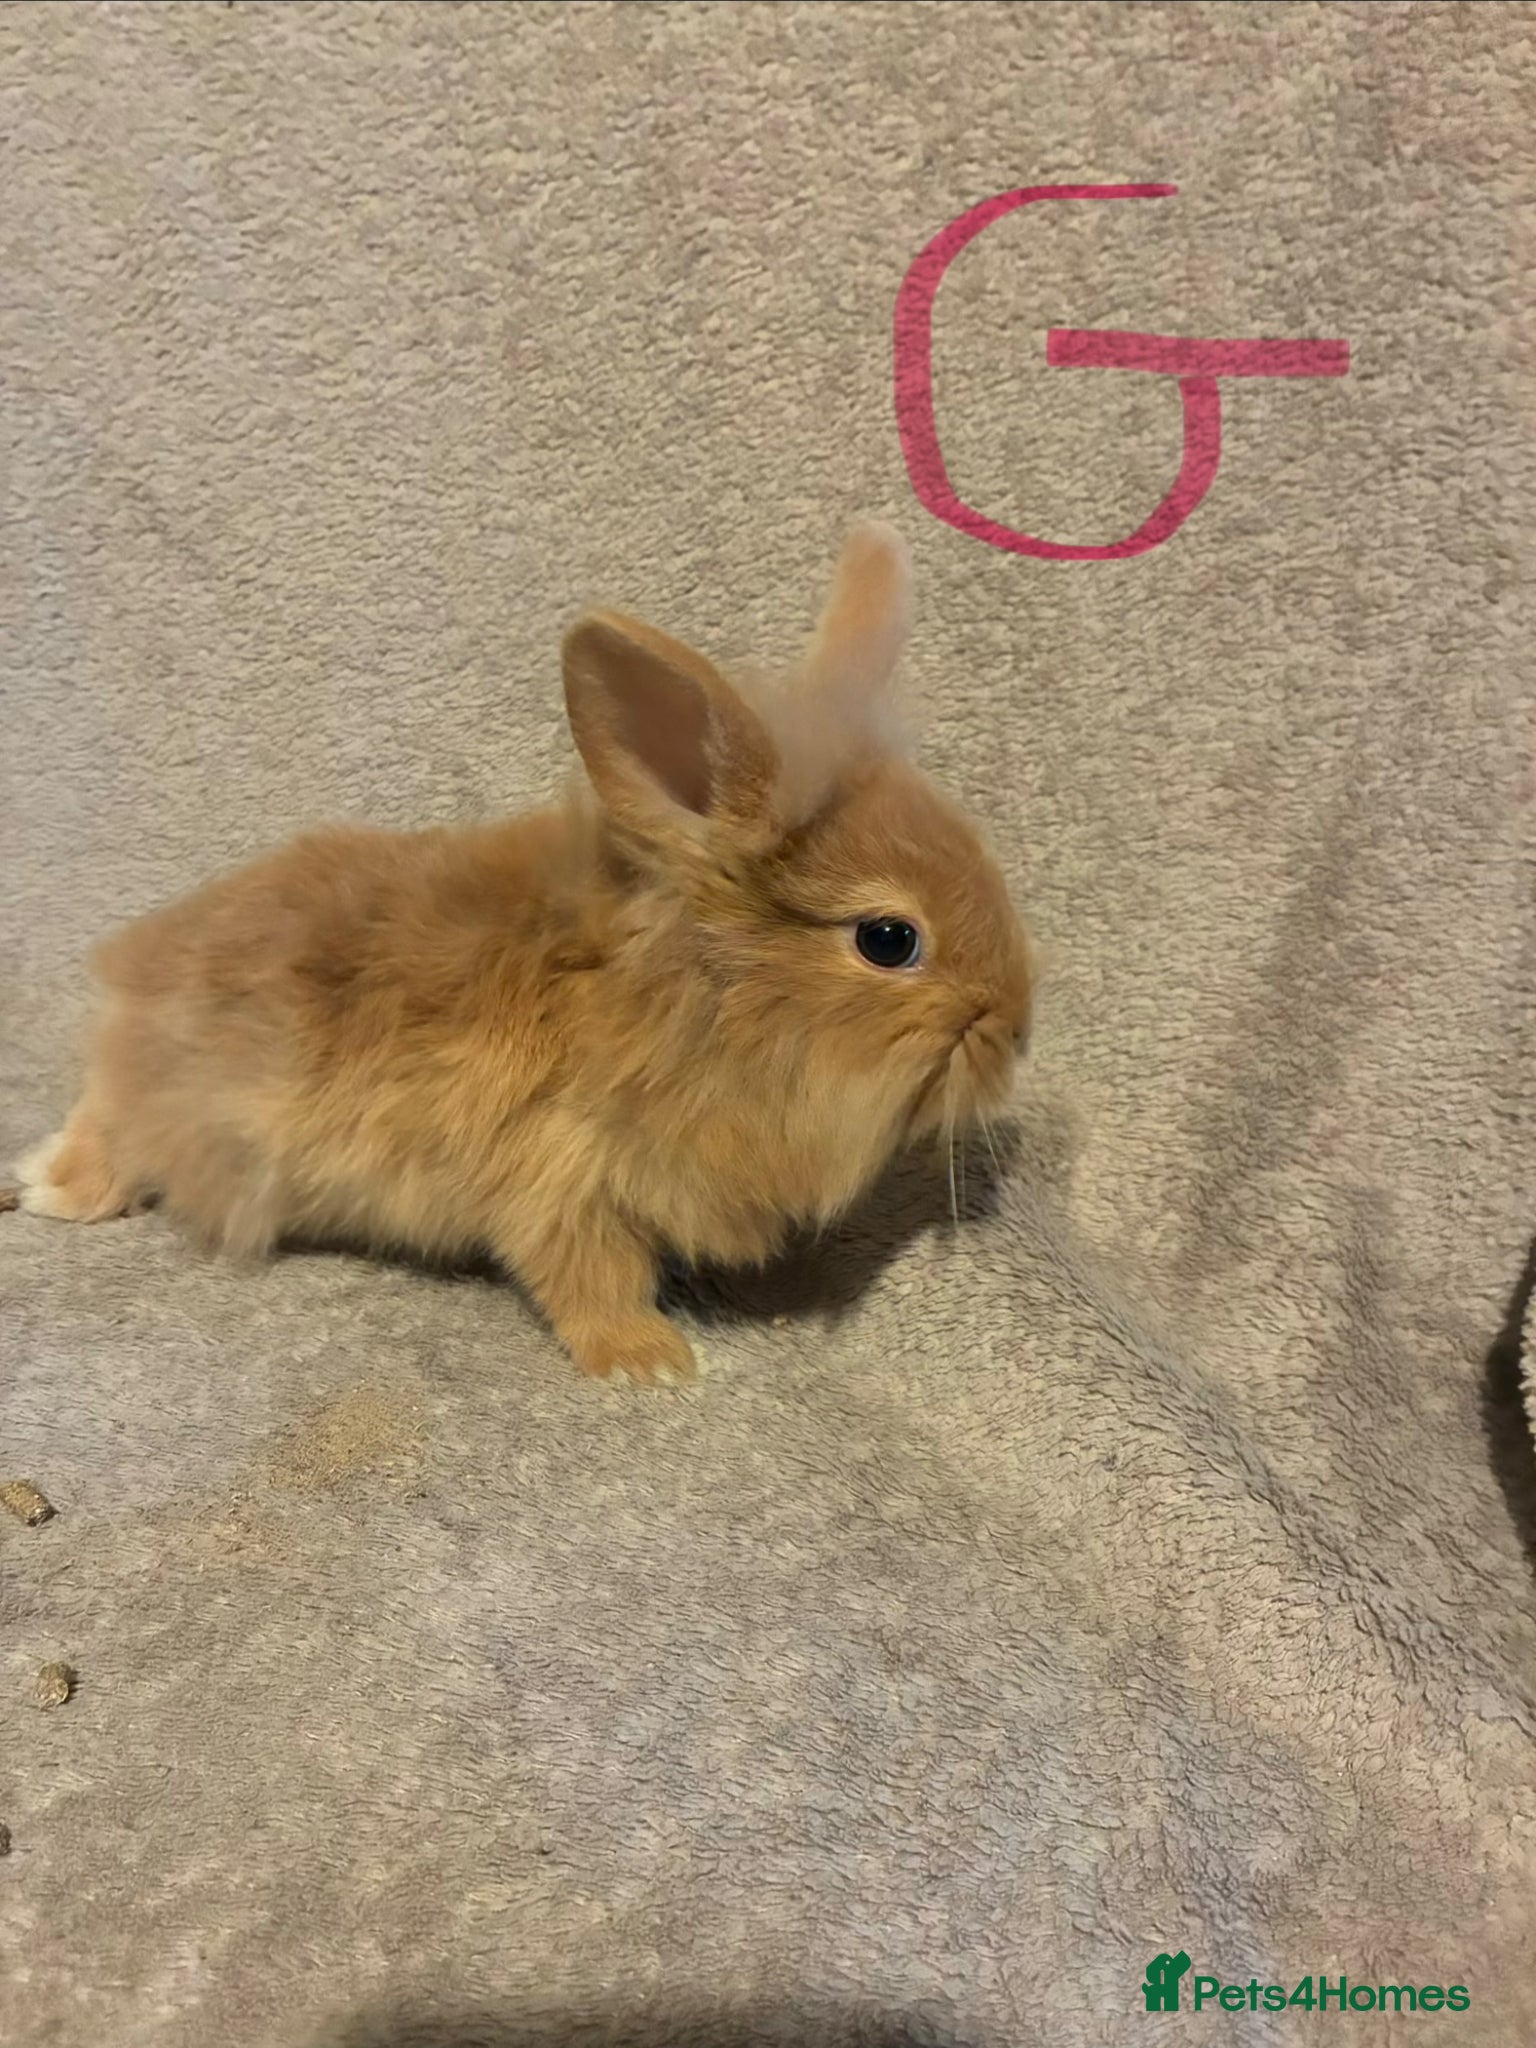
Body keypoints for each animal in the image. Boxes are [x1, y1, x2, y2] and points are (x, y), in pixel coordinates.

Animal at [18, 523, 1032, 1383]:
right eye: (890, 939)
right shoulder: (561, 1180)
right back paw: (49, 1189)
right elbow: (590, 1278)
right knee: (109, 1128)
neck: (682, 1001)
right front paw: (652, 1363)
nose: (1018, 1033)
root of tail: (135, 971)